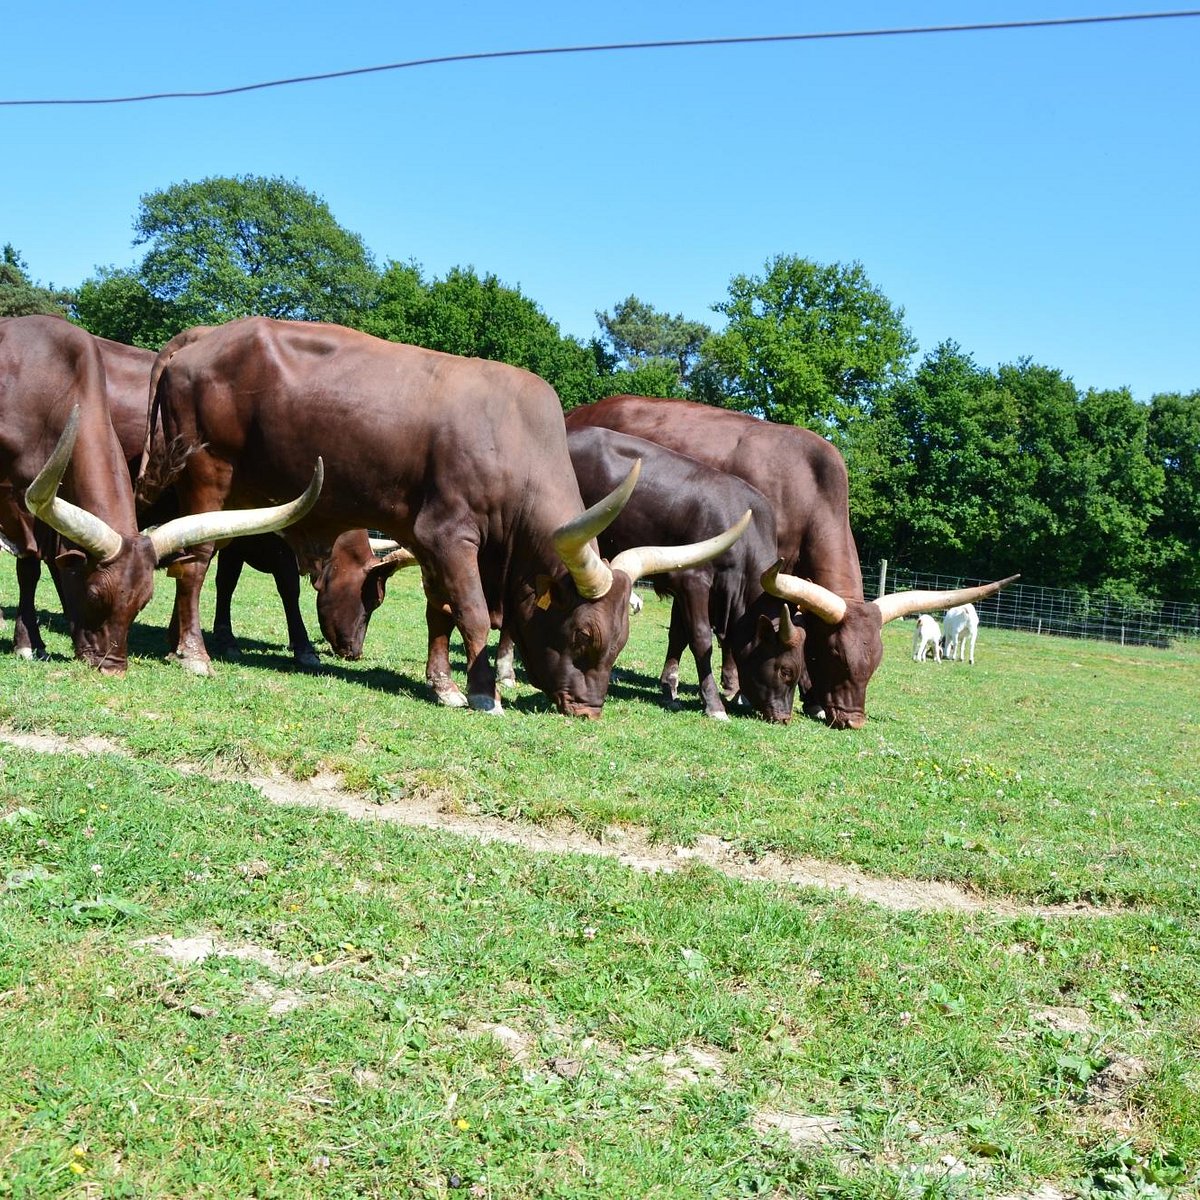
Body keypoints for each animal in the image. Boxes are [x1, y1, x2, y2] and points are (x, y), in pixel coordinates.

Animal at [0, 314, 324, 676]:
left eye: (143, 602)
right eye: (95, 595)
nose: (113, 667)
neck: (48, 387)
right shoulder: (18, 504)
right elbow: (29, 568)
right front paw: (29, 644)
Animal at [140, 316, 744, 710]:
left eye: (620, 642)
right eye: (584, 636)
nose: (589, 709)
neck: (512, 438)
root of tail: (205, 336)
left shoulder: (427, 541)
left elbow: (441, 613)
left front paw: (443, 684)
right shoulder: (451, 535)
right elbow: (471, 612)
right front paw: (482, 692)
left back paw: (175, 643)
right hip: (209, 475)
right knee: (195, 560)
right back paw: (193, 653)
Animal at [566, 398, 1017, 724]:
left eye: (874, 665)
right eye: (834, 655)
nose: (850, 719)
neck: (809, 488)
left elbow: (691, 631)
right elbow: (706, 634)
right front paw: (728, 691)